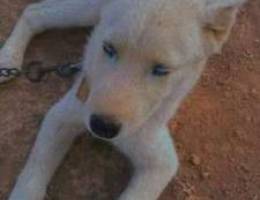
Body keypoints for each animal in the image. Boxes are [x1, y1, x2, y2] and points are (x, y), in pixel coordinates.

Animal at [0, 0, 244, 199]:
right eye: (108, 48)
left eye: (161, 70)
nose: (102, 127)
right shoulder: (63, 114)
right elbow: (33, 175)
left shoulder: (161, 162)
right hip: (91, 8)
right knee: (35, 11)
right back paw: (7, 60)